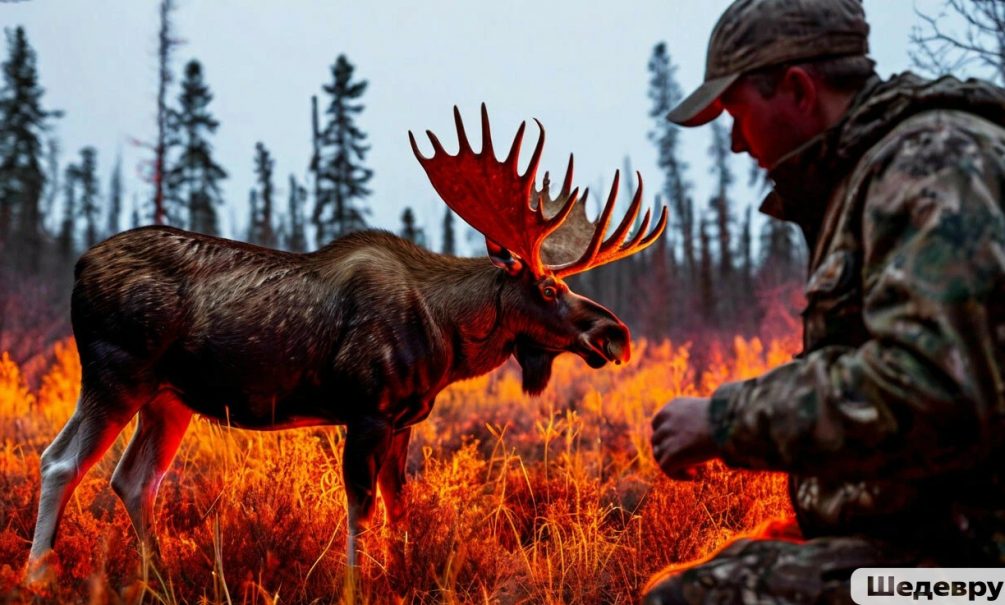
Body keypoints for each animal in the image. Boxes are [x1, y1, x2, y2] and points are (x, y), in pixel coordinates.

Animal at [27, 105, 667, 574]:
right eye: (550, 287)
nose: (616, 335)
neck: (447, 336)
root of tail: (79, 265)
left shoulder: (404, 421)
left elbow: (399, 510)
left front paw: (403, 573)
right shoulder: (366, 412)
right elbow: (360, 514)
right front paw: (361, 581)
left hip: (167, 400)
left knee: (133, 480)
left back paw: (155, 575)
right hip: (117, 377)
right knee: (61, 462)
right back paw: (39, 575)